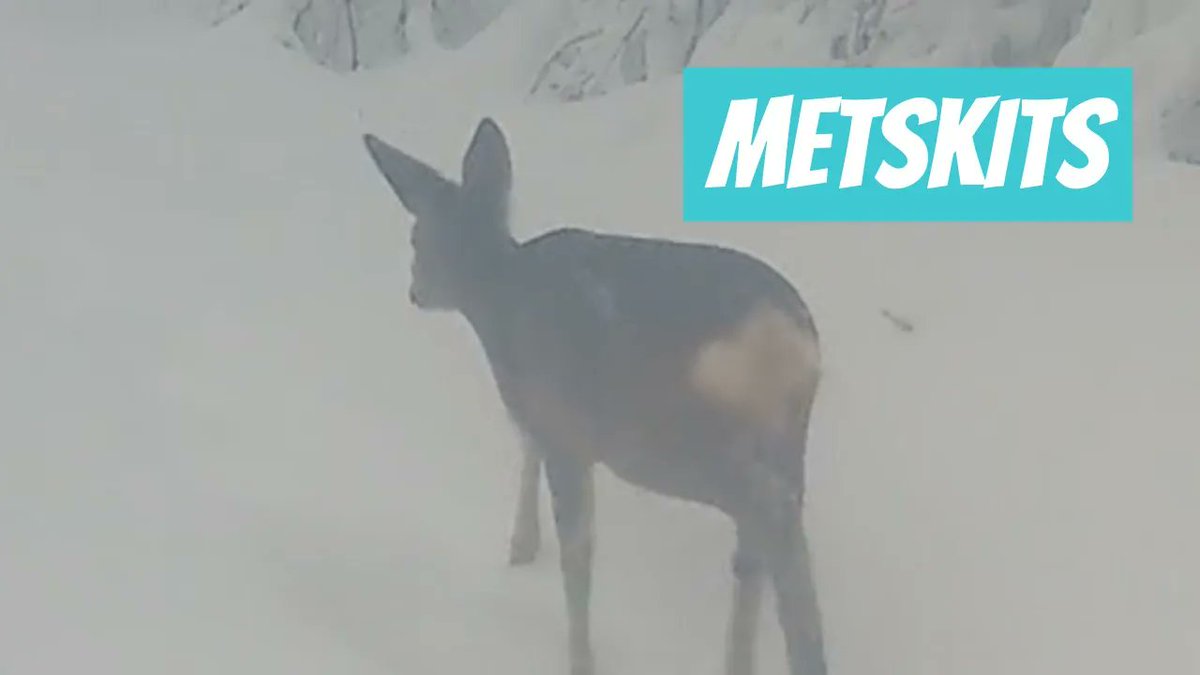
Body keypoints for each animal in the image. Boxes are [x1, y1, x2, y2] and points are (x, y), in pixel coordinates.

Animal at [361, 117, 828, 675]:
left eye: (417, 237)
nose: (416, 290)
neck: (499, 300)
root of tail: (780, 339)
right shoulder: (542, 412)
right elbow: (529, 450)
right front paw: (522, 546)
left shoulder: (565, 429)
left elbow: (577, 550)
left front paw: (579, 655)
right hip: (784, 441)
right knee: (765, 544)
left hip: (670, 442)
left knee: (770, 531)